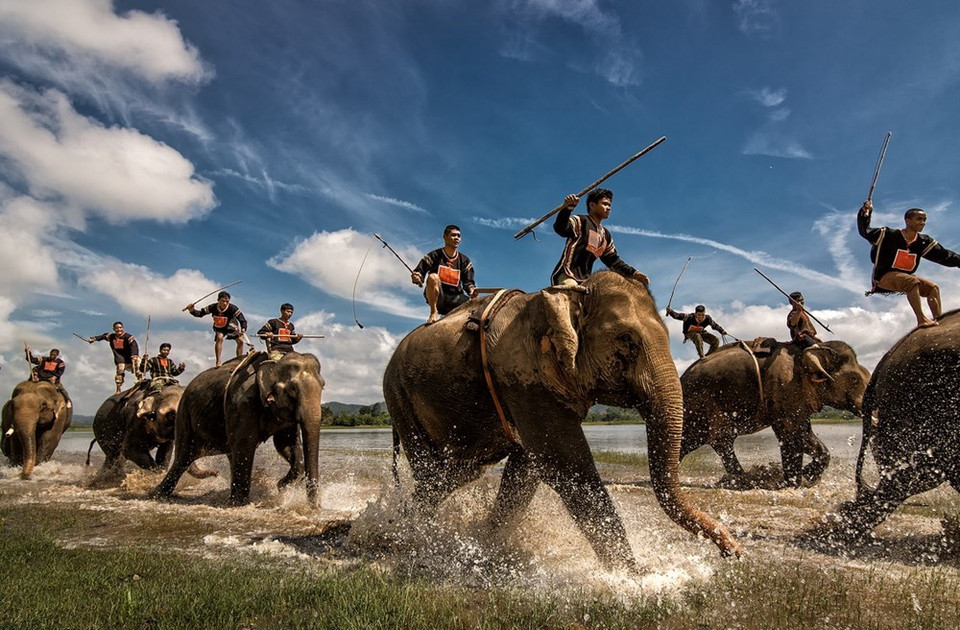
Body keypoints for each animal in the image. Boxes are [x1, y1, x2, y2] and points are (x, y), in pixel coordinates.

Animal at [152, 351, 324, 506]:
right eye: (293, 389)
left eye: (323, 386)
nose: (315, 508)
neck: (274, 362)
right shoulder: (242, 402)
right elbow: (245, 443)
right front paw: (240, 504)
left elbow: (285, 444)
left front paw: (280, 485)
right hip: (184, 414)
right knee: (183, 458)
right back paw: (156, 496)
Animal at [384, 271, 741, 571]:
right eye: (627, 341)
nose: (732, 550)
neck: (565, 295)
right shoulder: (522, 376)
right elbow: (564, 463)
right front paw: (634, 576)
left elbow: (527, 468)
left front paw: (484, 542)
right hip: (399, 398)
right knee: (432, 473)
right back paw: (411, 534)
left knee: (456, 473)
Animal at [679, 340, 869, 487]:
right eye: (854, 379)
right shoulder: (785, 387)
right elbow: (790, 435)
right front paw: (793, 482)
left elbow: (804, 435)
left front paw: (806, 477)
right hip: (703, 403)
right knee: (717, 439)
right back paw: (745, 480)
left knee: (702, 440)